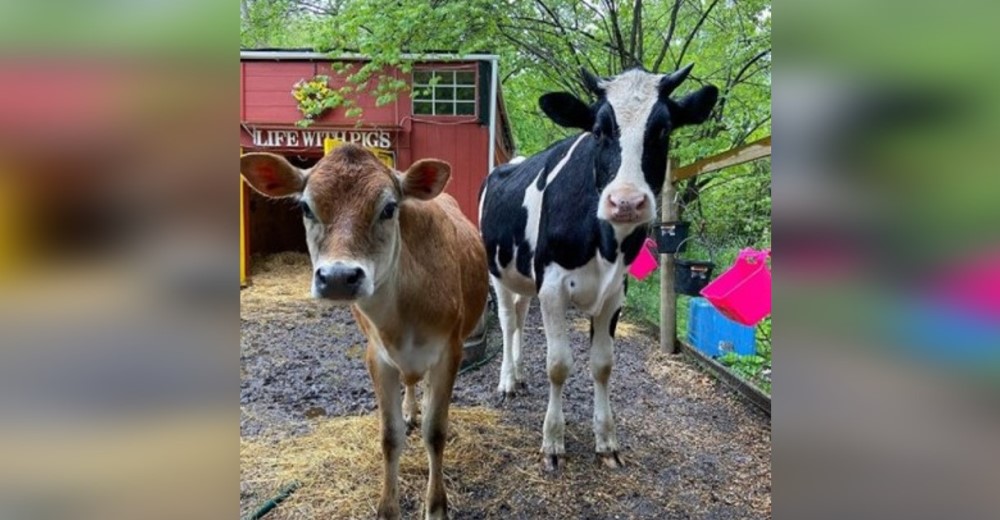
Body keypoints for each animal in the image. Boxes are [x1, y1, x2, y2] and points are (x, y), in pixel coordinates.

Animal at [243, 145, 492, 520]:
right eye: (306, 207)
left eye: (389, 208)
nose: (338, 277)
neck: (403, 317)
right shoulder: (377, 355)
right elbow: (389, 436)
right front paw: (388, 508)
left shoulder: (450, 351)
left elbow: (436, 432)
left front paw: (436, 506)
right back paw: (410, 409)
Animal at [478, 63, 720, 470]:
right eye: (599, 130)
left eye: (664, 129)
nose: (626, 202)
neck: (604, 244)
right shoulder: (552, 287)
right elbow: (558, 364)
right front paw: (552, 442)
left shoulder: (614, 292)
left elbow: (603, 364)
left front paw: (607, 441)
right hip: (497, 270)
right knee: (509, 321)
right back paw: (508, 381)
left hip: (525, 276)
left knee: (521, 318)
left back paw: (520, 374)